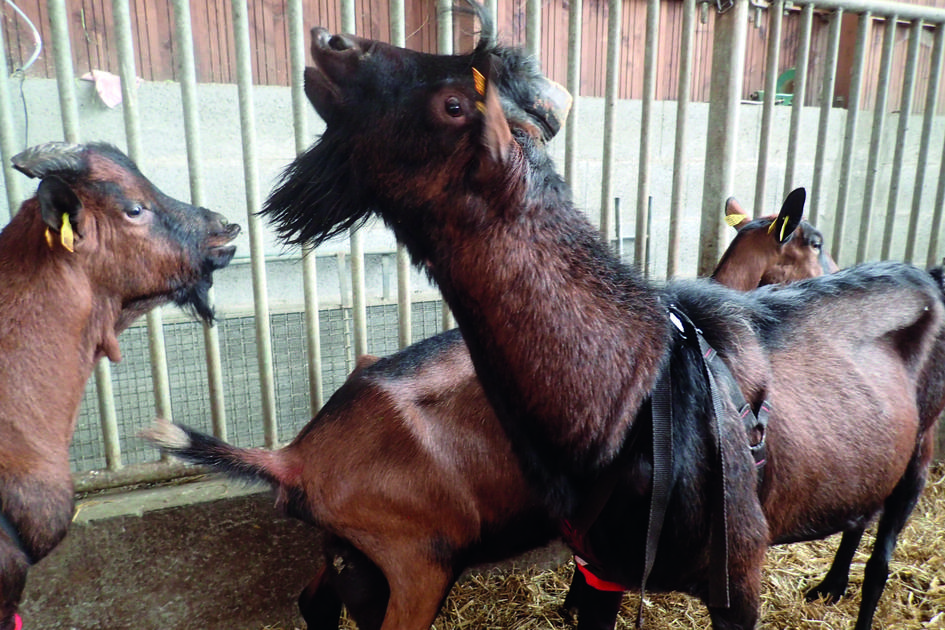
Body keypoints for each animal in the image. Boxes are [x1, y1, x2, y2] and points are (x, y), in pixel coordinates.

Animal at [255, 7, 945, 630]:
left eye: (453, 102)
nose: (331, 42)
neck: (636, 396)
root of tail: (294, 457)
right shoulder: (604, 565)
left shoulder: (736, 576)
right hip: (403, 560)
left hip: (919, 450)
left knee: (881, 555)